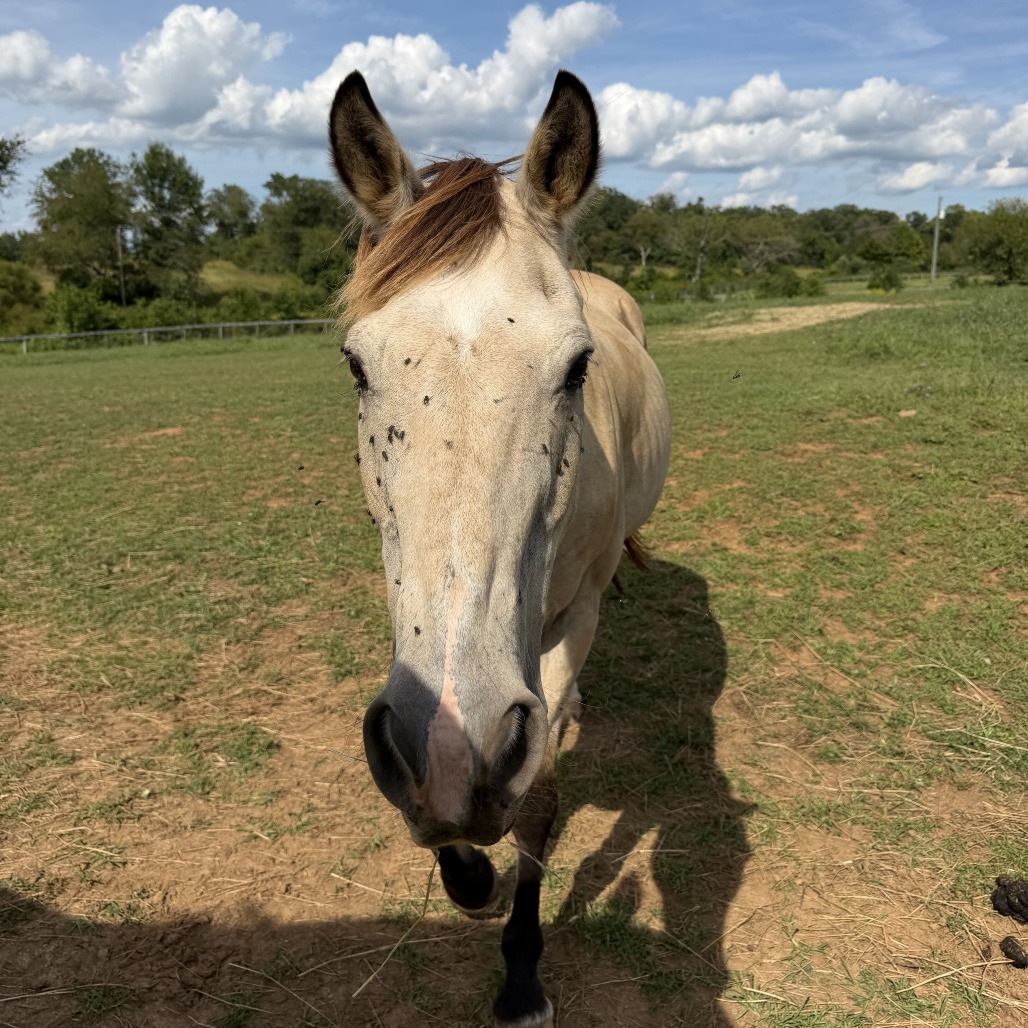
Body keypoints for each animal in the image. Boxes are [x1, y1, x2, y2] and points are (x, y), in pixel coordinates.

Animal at [328, 69, 671, 1027]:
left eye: (578, 367)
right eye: (357, 365)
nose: (458, 753)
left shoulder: (572, 619)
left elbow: (541, 796)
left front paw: (520, 974)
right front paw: (468, 876)